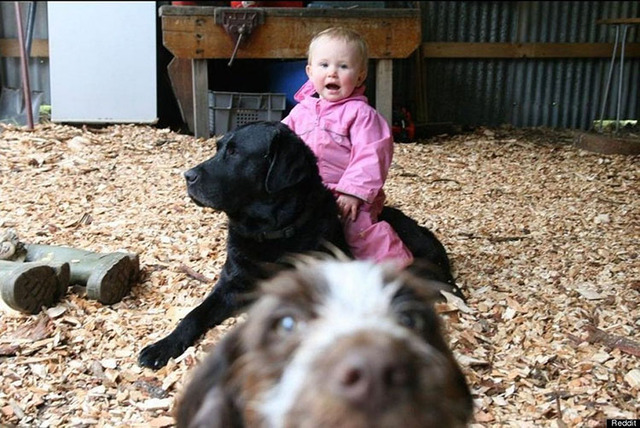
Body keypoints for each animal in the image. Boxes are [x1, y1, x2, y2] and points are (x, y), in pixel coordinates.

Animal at [139, 121, 460, 372]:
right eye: (218, 148)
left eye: (234, 152)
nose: (188, 176)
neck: (269, 232)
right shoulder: (231, 285)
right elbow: (194, 314)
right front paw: (162, 346)